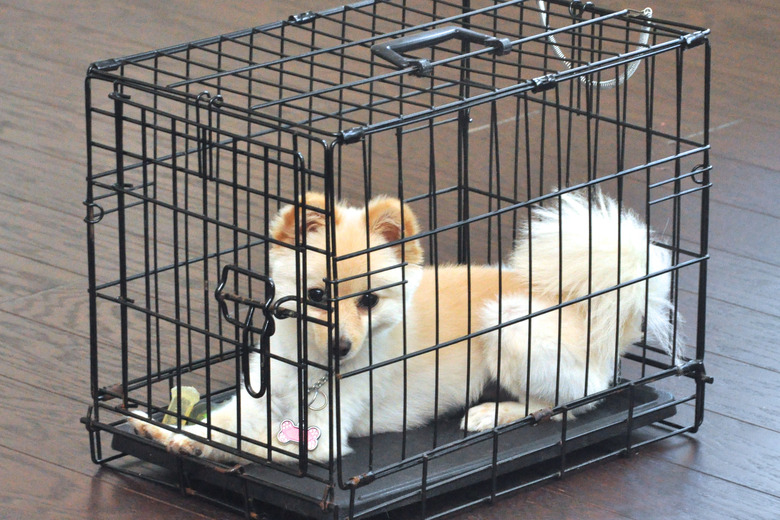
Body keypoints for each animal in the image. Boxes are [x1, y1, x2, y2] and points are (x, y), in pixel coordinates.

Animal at [131, 190, 680, 464]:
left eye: (369, 301)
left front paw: (194, 441)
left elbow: (248, 442)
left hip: (505, 322)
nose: (342, 345)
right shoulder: (260, 400)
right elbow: (222, 422)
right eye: (316, 296)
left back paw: (494, 413)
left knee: (573, 401)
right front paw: (170, 431)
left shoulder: (320, 438)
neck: (310, 367)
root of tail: (597, 311)